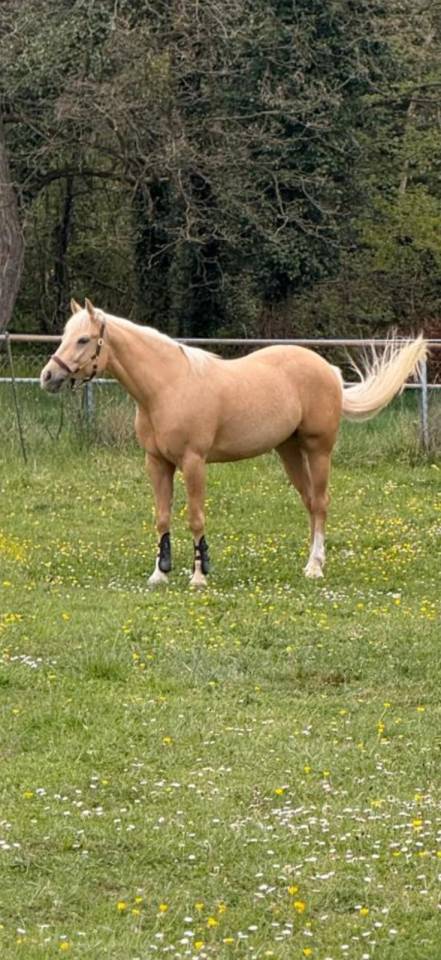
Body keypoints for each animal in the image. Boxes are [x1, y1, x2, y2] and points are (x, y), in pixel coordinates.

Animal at [40, 299, 427, 587]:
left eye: (84, 339)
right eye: (65, 335)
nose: (48, 376)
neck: (167, 386)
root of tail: (328, 371)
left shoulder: (193, 461)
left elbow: (195, 517)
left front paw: (199, 576)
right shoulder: (156, 462)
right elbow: (162, 517)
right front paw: (159, 574)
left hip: (319, 449)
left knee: (320, 504)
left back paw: (315, 567)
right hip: (289, 450)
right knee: (309, 502)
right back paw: (312, 561)